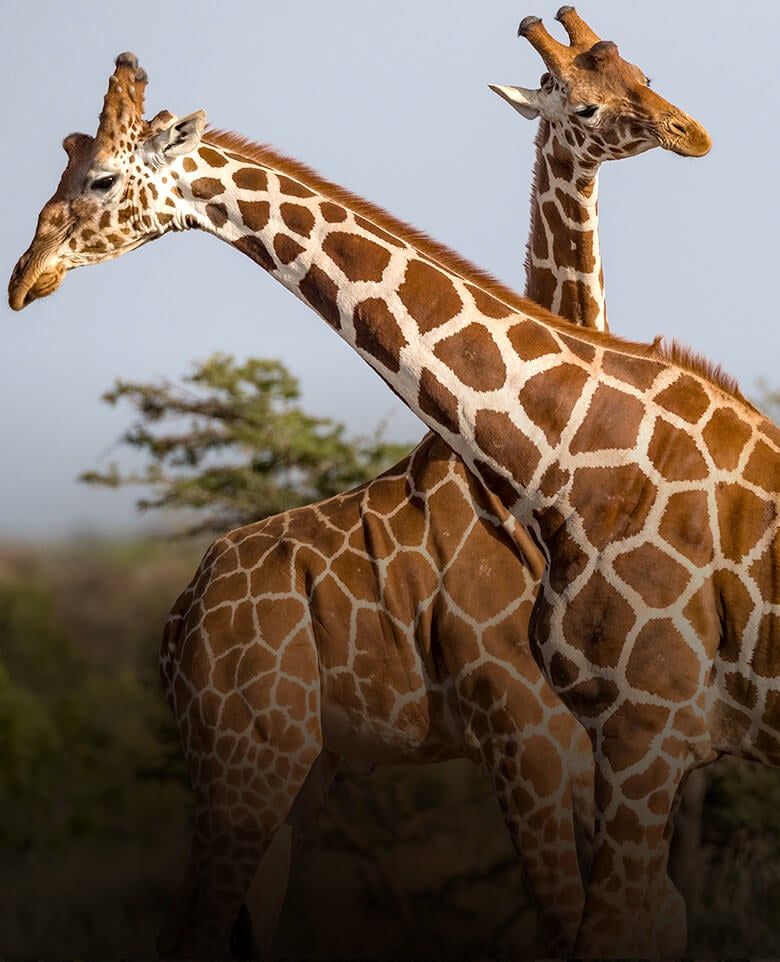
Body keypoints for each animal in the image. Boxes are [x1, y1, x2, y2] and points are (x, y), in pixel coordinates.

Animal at [9, 22, 762, 960]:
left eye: (641, 75)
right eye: (581, 104)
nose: (688, 132)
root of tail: (177, 623)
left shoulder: (596, 749)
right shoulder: (528, 735)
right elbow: (575, 922)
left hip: (298, 770)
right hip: (245, 761)